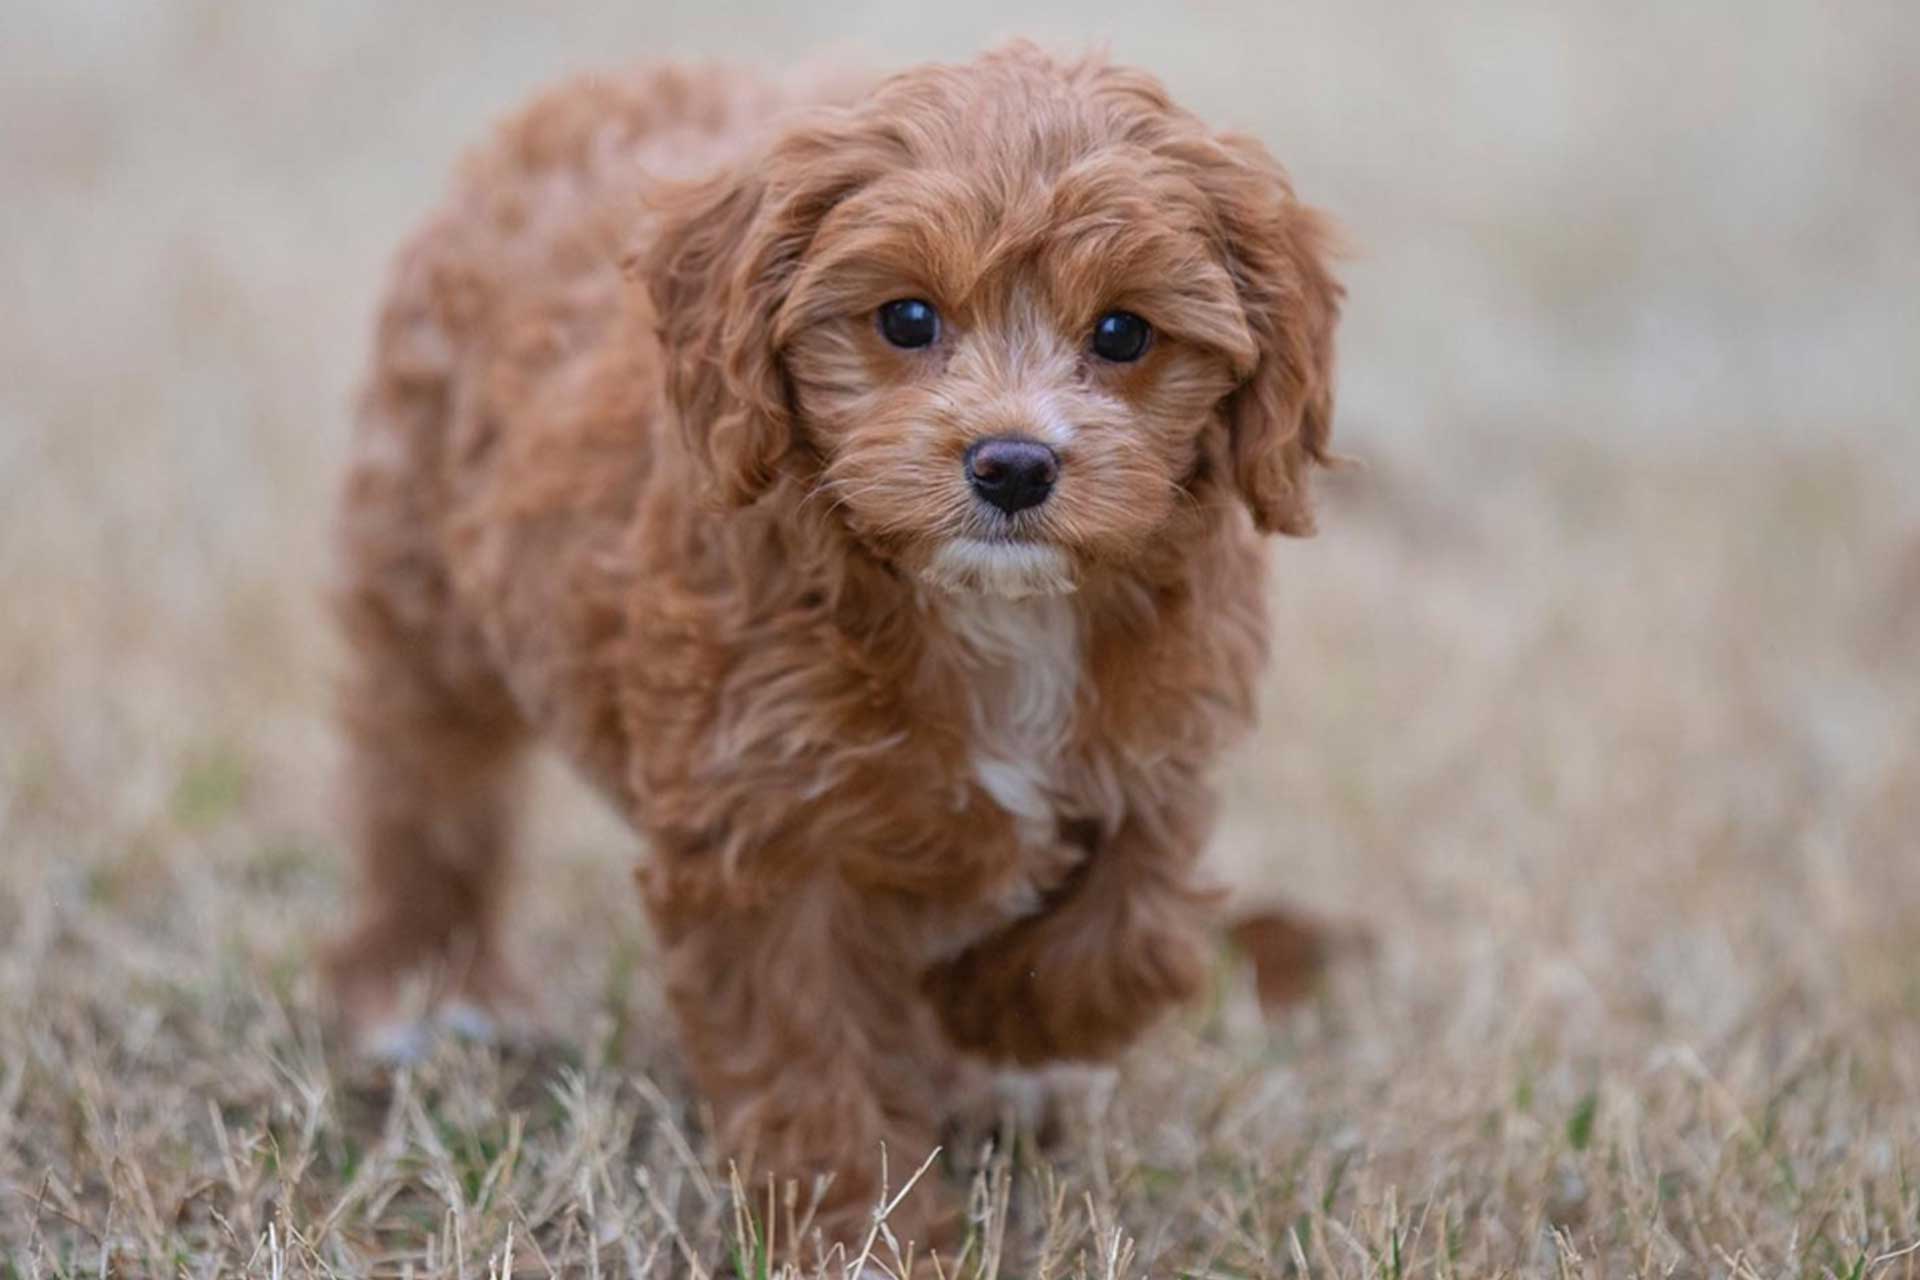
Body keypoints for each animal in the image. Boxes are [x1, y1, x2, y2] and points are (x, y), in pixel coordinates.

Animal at [330, 42, 1344, 1258]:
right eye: (905, 317)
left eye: (1123, 333)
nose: (1012, 463)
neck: (995, 610)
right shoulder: (761, 826)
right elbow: (811, 1058)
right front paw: (864, 1233)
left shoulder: (1163, 738)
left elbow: (1134, 923)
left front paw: (996, 1014)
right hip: (421, 577)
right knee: (425, 787)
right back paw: (425, 990)